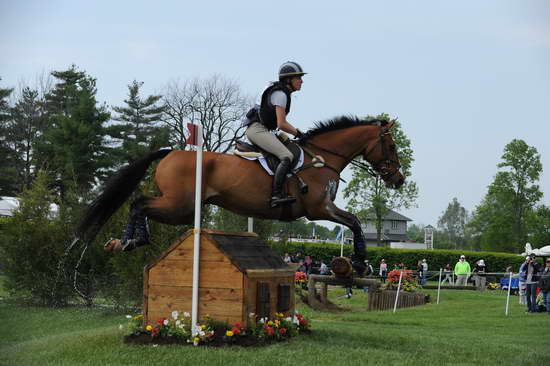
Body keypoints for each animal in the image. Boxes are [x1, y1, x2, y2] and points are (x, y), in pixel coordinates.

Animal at [77, 116, 406, 274]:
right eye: (391, 146)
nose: (398, 179)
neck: (323, 158)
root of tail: (171, 152)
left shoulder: (322, 209)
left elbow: (353, 222)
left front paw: (358, 261)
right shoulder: (318, 208)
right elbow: (354, 222)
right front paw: (360, 262)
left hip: (181, 207)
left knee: (141, 204)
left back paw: (127, 241)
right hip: (180, 206)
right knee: (139, 203)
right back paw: (129, 241)